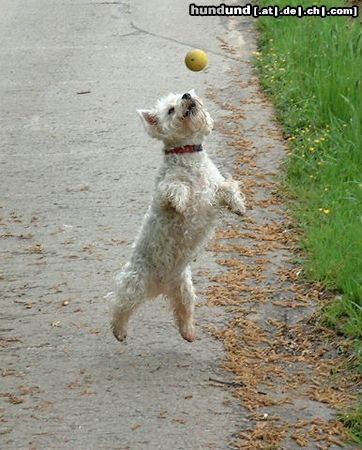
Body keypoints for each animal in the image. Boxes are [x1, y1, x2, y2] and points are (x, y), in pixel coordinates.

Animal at [110, 91, 246, 342]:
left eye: (184, 96)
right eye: (170, 109)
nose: (187, 95)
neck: (188, 155)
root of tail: (160, 286)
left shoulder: (213, 191)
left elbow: (228, 187)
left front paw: (239, 206)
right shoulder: (165, 191)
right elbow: (175, 188)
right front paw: (181, 203)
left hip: (184, 289)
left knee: (183, 312)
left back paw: (189, 333)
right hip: (135, 281)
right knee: (121, 306)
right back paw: (120, 332)